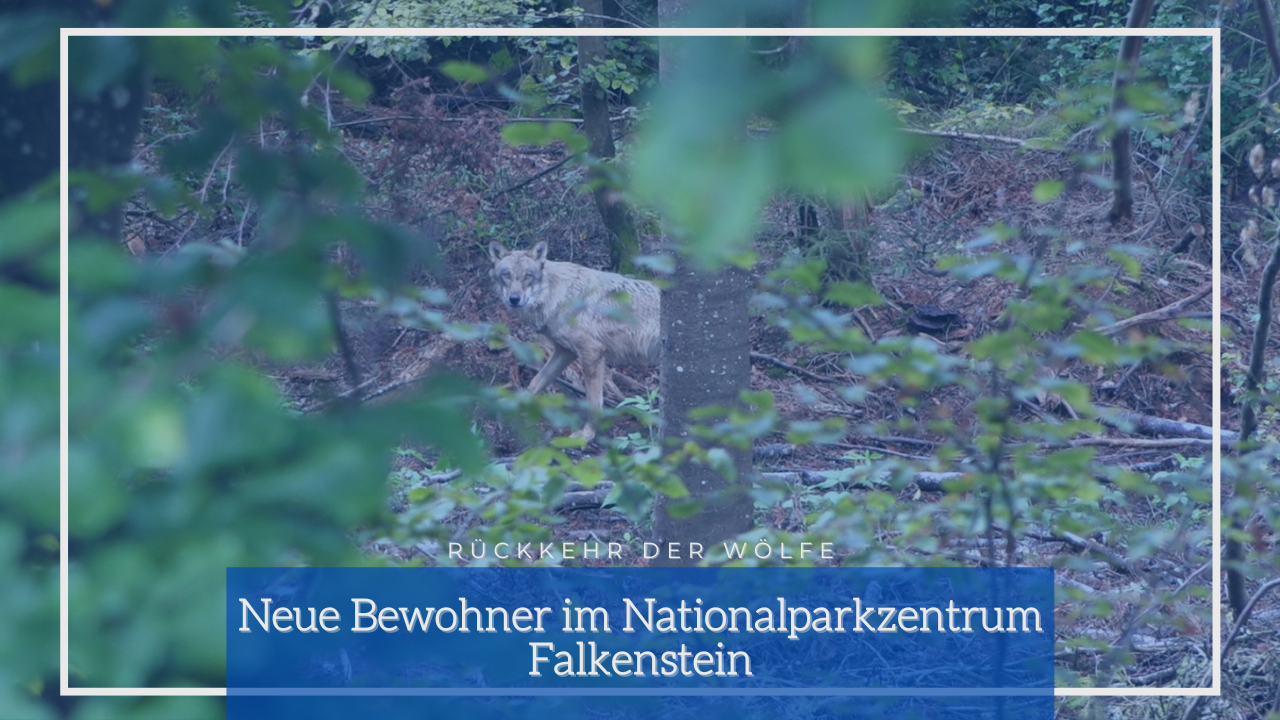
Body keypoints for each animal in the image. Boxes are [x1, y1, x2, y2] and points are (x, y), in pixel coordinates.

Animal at [489, 241, 660, 442]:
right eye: (506, 275)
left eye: (528, 276)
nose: (514, 299)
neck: (557, 296)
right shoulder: (565, 351)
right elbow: (536, 382)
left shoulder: (592, 352)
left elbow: (594, 402)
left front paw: (586, 435)